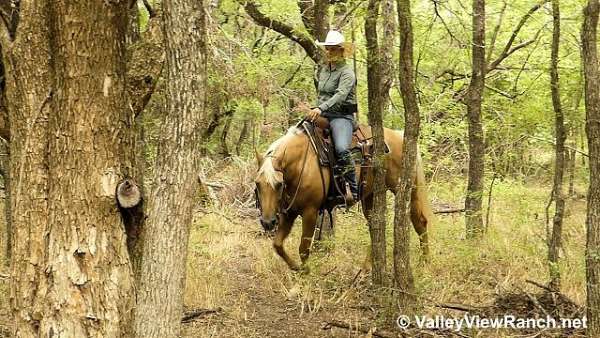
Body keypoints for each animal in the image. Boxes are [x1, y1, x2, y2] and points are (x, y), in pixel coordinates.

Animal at [253, 125, 432, 270]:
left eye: (279, 184)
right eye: (257, 183)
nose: (267, 222)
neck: (301, 164)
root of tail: (400, 135)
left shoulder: (310, 211)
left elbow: (303, 248)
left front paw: (305, 273)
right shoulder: (289, 213)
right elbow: (277, 245)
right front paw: (296, 267)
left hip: (407, 188)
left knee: (419, 221)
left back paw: (424, 263)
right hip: (370, 195)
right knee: (375, 226)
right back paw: (367, 267)